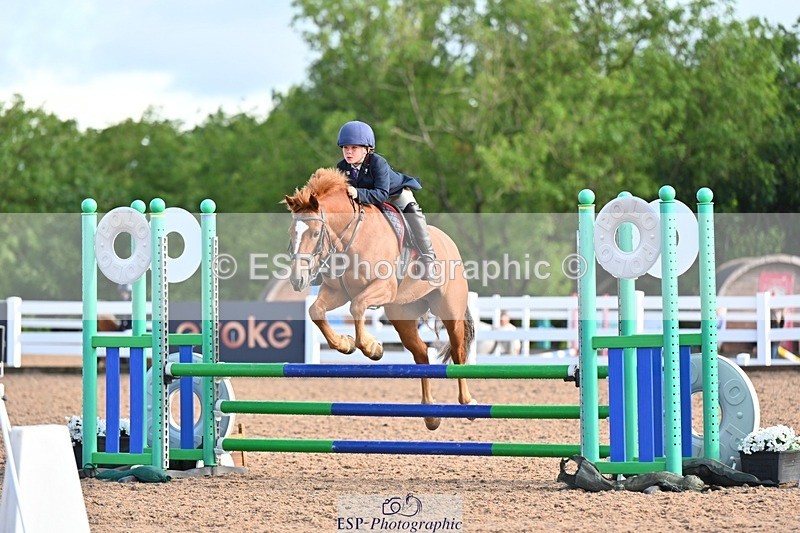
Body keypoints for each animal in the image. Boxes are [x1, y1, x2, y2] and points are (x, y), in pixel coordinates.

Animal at [283, 168, 476, 430]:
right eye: (291, 234)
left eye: (314, 233)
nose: (297, 280)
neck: (349, 239)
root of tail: (449, 242)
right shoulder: (336, 292)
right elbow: (316, 311)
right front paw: (345, 343)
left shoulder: (382, 287)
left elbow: (357, 307)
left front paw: (372, 348)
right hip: (402, 315)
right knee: (421, 353)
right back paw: (431, 415)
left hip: (450, 311)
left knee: (458, 352)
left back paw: (468, 403)